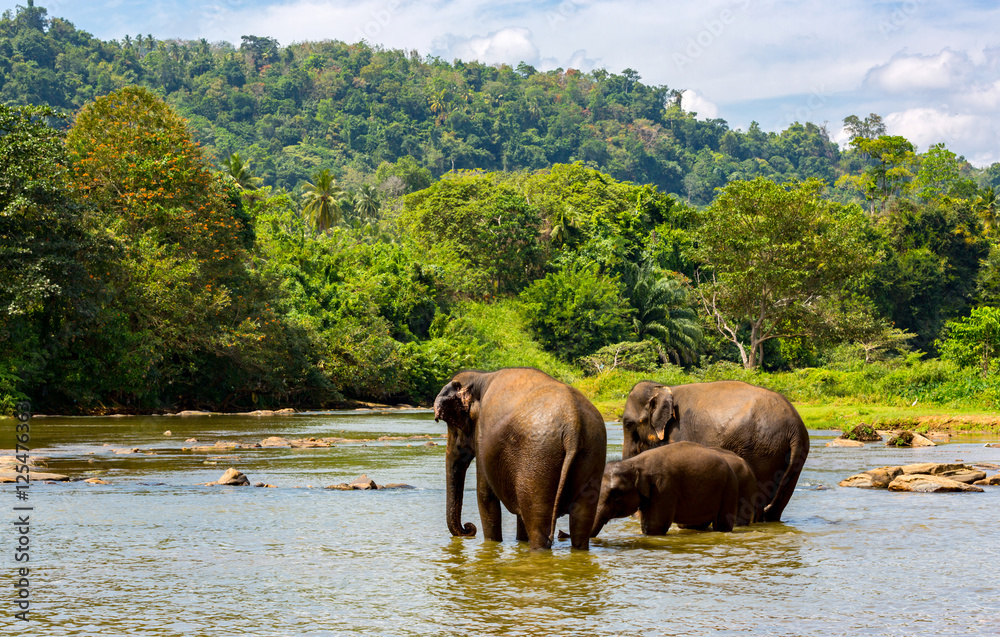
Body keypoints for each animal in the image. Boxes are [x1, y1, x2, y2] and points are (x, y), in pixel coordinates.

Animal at [432, 366, 604, 548]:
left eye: (453, 426)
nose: (468, 527)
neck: (480, 377)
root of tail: (573, 423)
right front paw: (520, 542)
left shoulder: (483, 438)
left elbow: (485, 496)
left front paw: (493, 543)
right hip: (592, 451)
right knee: (581, 520)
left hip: (538, 456)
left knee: (537, 521)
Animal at [588, 440, 740, 536]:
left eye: (615, 495)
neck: (635, 463)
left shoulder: (664, 487)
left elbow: (655, 526)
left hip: (729, 487)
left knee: (722, 522)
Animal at [620, 378, 808, 520]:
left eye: (628, 424)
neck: (663, 388)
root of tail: (795, 428)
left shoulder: (679, 432)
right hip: (792, 457)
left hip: (761, 451)